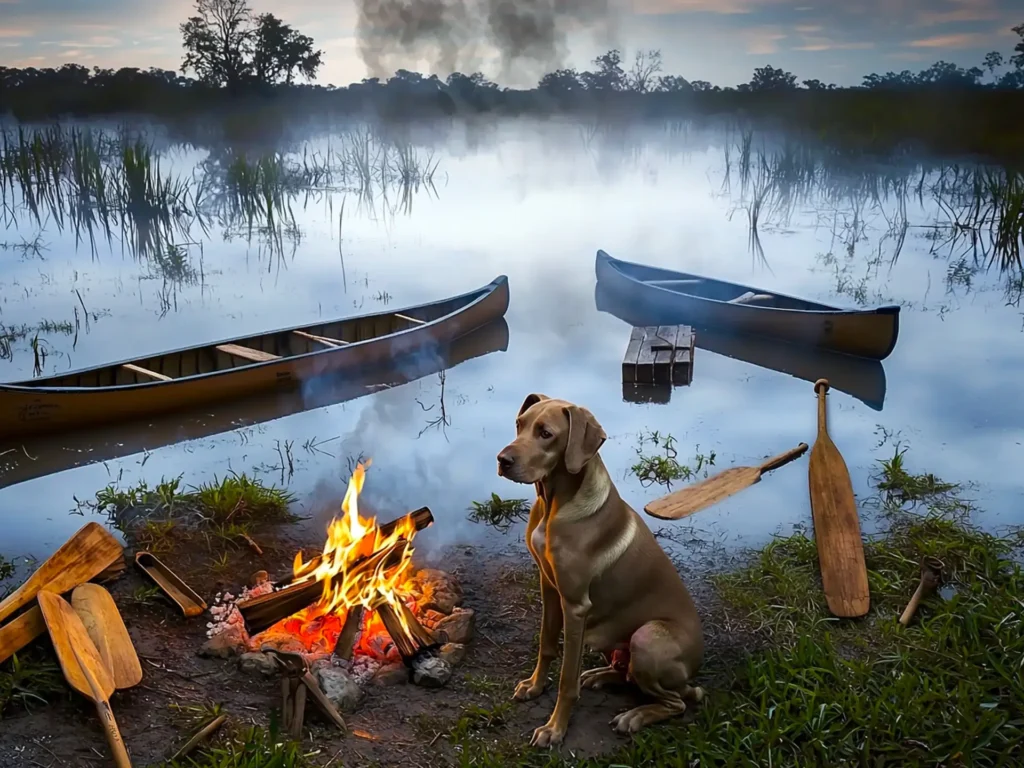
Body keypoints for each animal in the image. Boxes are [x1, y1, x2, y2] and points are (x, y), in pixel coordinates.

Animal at [495, 393, 704, 749]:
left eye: (546, 434)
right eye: (519, 425)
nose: (502, 460)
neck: (554, 504)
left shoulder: (576, 606)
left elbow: (566, 680)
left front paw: (555, 728)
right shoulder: (549, 588)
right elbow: (546, 644)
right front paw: (535, 686)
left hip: (646, 638)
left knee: (675, 702)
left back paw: (635, 716)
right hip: (608, 633)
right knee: (628, 675)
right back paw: (599, 676)